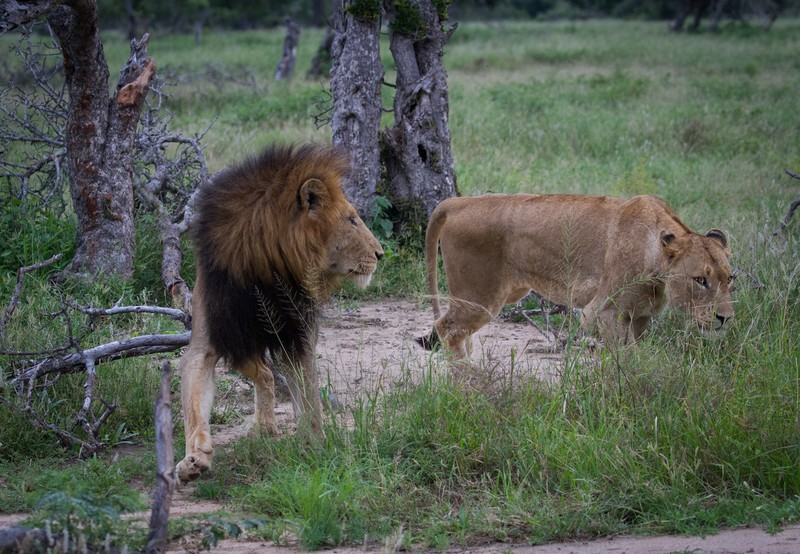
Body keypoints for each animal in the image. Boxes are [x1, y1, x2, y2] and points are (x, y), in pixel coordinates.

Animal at [178, 144, 384, 480]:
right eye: (352, 220)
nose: (380, 253)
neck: (263, 270)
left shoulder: (297, 338)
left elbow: (309, 397)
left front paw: (314, 445)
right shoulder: (209, 341)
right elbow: (194, 406)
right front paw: (194, 458)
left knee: (270, 375)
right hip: (241, 342)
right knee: (262, 372)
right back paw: (262, 426)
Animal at [422, 193, 736, 358]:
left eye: (729, 279)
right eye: (700, 280)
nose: (725, 318)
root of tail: (457, 202)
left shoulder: (639, 315)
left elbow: (635, 351)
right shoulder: (603, 311)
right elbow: (628, 356)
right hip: (480, 296)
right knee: (446, 327)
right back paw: (468, 384)